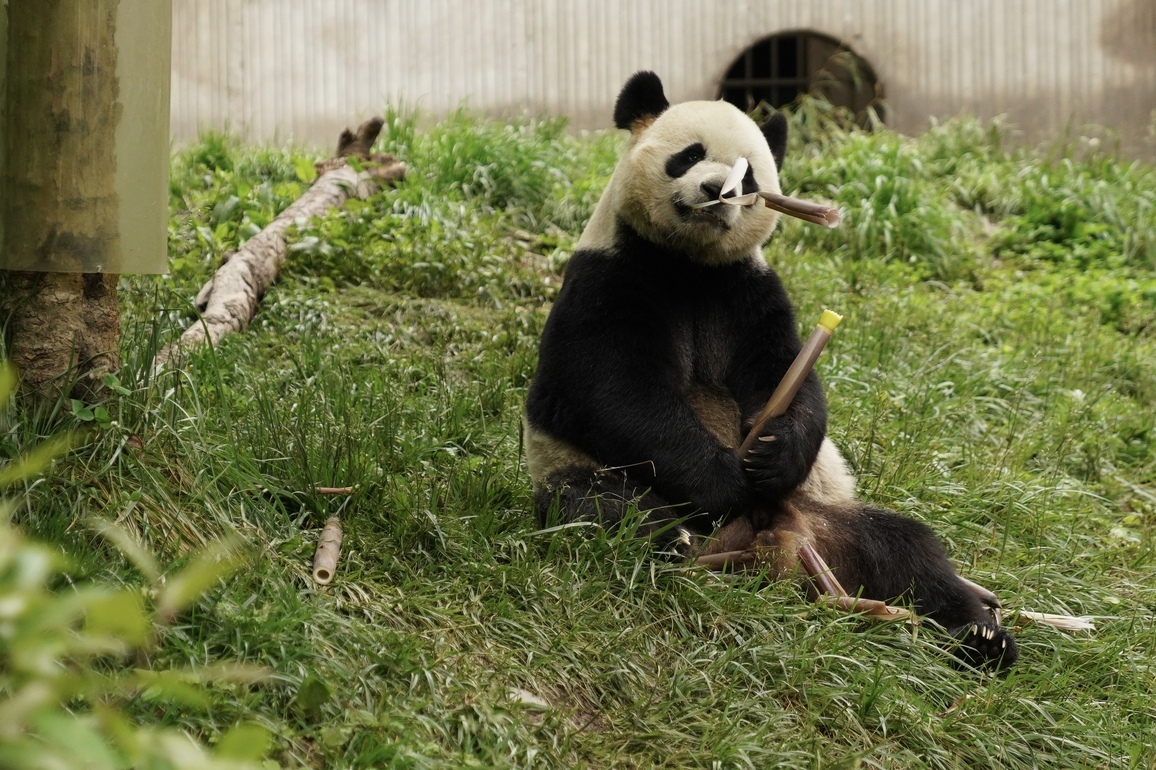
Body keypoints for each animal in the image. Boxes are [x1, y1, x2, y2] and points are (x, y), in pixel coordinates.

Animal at [524, 71, 1017, 670]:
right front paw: (724, 480)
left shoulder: (749, 290)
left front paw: (771, 452)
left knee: (906, 550)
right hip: (582, 475)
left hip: (825, 514)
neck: (687, 264)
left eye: (750, 175)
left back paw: (980, 636)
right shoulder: (607, 278)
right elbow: (605, 391)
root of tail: (773, 554)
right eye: (690, 156)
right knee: (603, 508)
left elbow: (785, 375)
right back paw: (674, 544)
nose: (717, 192)